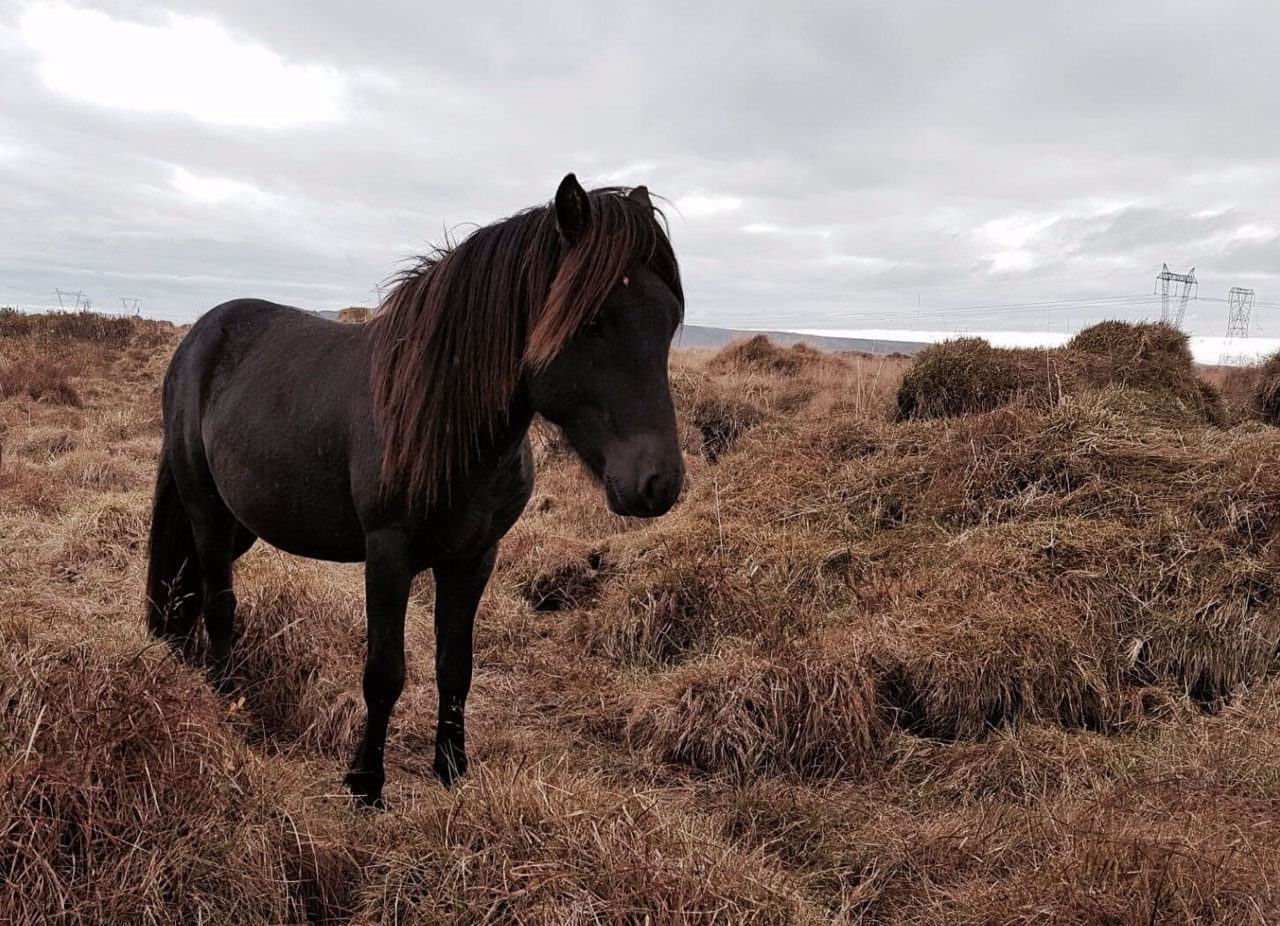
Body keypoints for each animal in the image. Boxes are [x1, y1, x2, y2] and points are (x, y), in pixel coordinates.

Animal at [144, 174, 686, 807]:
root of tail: (199, 338)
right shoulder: (388, 554)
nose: (659, 484)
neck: (445, 421)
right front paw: (365, 785)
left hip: (243, 520)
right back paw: (226, 696)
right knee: (218, 600)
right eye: (592, 321)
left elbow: (456, 666)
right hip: (205, 508)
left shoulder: (474, 558)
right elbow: (384, 672)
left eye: (669, 321)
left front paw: (452, 769)